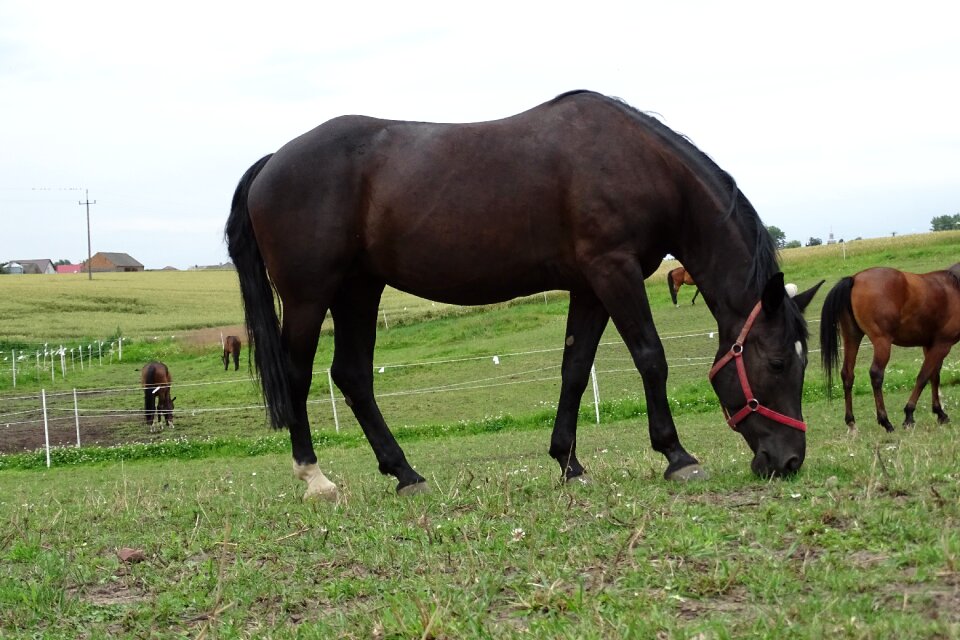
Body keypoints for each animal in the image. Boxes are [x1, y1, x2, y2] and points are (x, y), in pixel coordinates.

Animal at [227, 89, 824, 500]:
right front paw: (676, 455)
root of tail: (272, 160)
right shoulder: (614, 271)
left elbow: (575, 369)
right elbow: (650, 357)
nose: (790, 461)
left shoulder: (590, 284)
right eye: (776, 362)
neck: (635, 159)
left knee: (351, 376)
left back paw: (407, 474)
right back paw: (316, 479)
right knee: (299, 376)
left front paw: (569, 463)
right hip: (310, 296)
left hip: (358, 289)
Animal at [816, 262, 960, 432]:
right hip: (882, 342)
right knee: (876, 374)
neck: (955, 285)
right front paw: (909, 415)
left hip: (852, 337)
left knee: (847, 374)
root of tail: (854, 279)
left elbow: (934, 376)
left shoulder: (930, 345)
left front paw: (940, 413)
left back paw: (851, 423)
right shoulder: (942, 345)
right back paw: (885, 421)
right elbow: (923, 377)